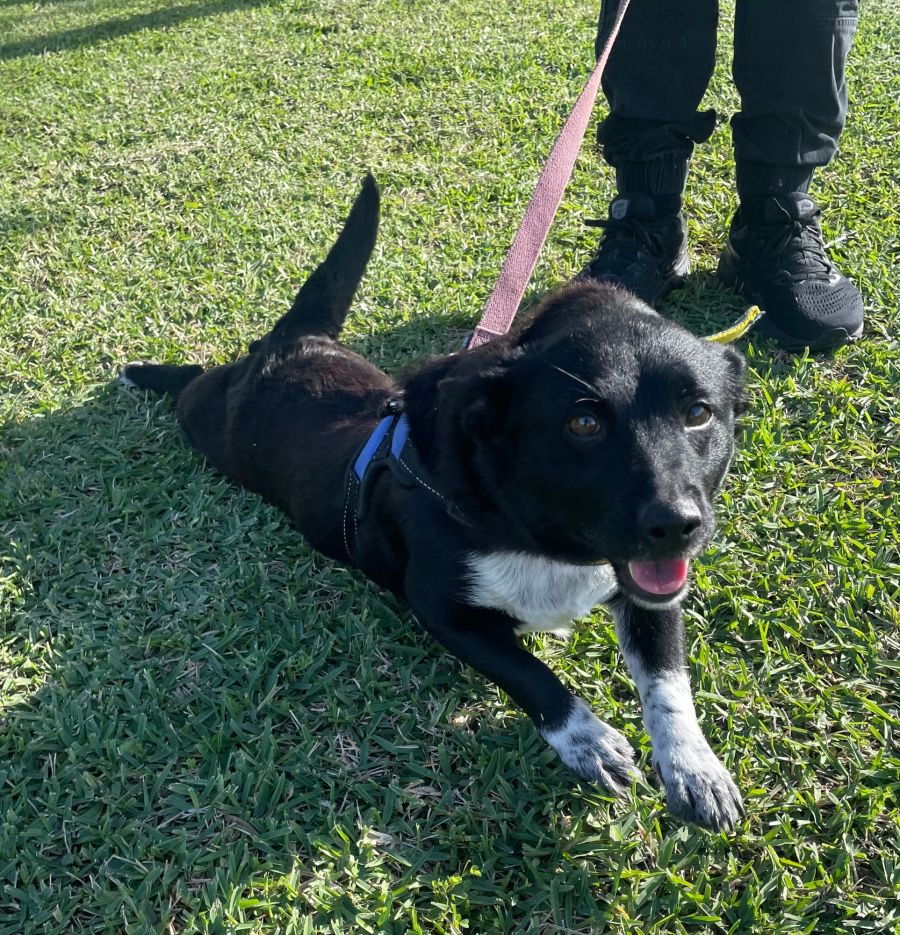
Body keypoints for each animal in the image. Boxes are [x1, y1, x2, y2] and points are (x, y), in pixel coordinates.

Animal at [121, 175, 747, 830]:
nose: (677, 525)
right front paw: (587, 740)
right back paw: (149, 372)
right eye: (583, 424)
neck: (531, 533)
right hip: (207, 416)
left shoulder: (650, 592)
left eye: (699, 413)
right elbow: (532, 675)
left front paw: (694, 768)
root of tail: (289, 345)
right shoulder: (442, 609)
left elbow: (667, 682)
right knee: (198, 378)